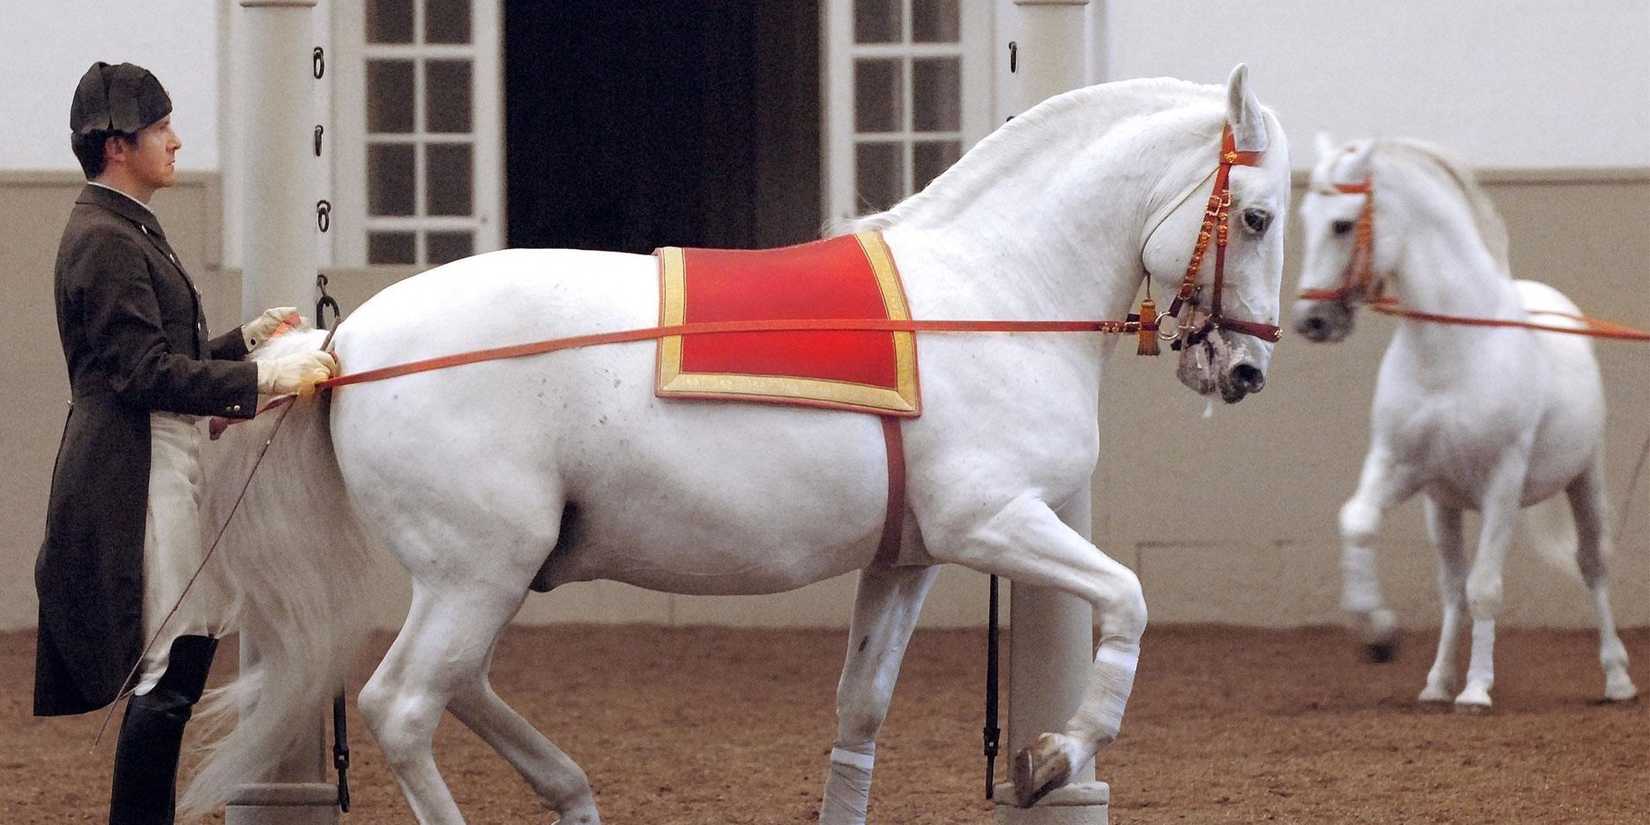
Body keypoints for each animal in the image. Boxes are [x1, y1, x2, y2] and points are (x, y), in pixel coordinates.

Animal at [181, 66, 1291, 824]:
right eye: (1261, 215)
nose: (1244, 371)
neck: (991, 296)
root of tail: (347, 344)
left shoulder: (910, 558)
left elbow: (859, 712)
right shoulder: (993, 522)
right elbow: (1128, 598)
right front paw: (1057, 756)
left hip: (493, 568)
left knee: (459, 685)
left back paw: (572, 792)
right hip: (477, 567)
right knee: (406, 703)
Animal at [1291, 134, 1638, 711]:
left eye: (1341, 224)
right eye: (1304, 218)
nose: (1311, 322)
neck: (1452, 352)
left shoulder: (1502, 482)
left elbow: (1485, 589)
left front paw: (1476, 691)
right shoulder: (1401, 468)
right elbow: (1359, 523)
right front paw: (1380, 636)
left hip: (1585, 479)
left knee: (1593, 566)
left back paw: (1617, 679)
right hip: (1445, 507)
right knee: (1452, 587)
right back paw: (1435, 684)